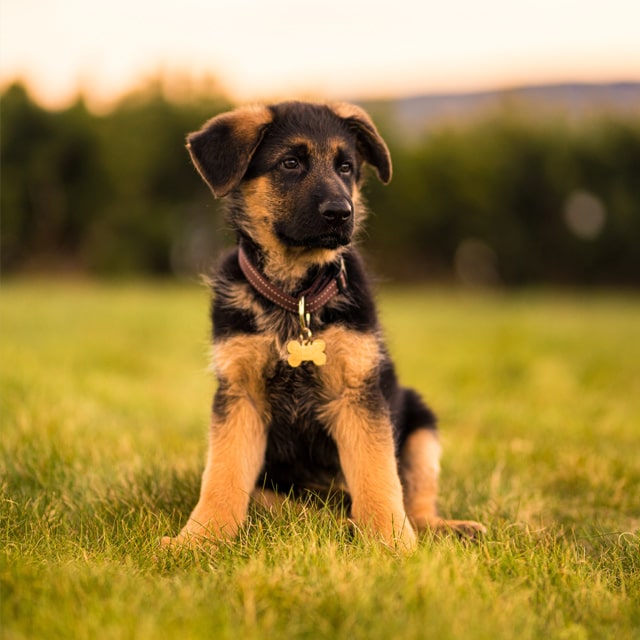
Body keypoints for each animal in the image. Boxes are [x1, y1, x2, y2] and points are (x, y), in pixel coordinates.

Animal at [165, 101, 484, 552]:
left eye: (346, 167)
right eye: (290, 163)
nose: (340, 213)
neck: (295, 294)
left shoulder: (357, 394)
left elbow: (378, 474)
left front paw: (392, 543)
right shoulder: (240, 396)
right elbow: (221, 476)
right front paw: (200, 539)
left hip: (421, 425)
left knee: (416, 503)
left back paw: (441, 527)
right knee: (291, 507)